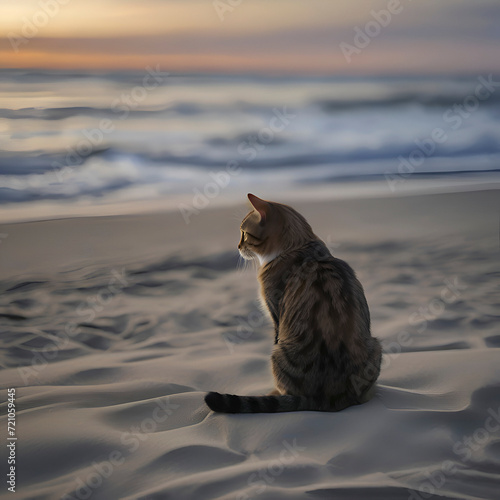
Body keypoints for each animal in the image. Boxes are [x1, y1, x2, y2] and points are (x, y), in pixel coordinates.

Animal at [205, 193, 380, 412]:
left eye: (244, 234)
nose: (238, 247)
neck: (300, 247)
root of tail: (326, 398)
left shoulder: (275, 312)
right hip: (375, 346)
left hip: (277, 352)